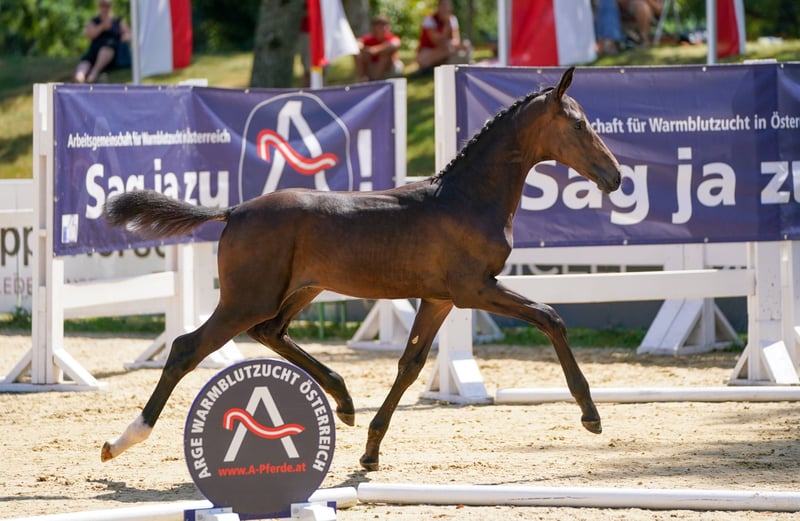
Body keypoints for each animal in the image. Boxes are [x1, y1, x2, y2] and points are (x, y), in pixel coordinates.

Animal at [101, 67, 621, 471]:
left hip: (299, 291)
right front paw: (590, 413)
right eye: (578, 125)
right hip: (246, 299)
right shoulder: (474, 288)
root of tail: (234, 211)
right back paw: (123, 439)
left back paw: (345, 400)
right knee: (188, 348)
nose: (614, 175)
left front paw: (370, 451)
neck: (467, 198)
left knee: (271, 333)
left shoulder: (439, 298)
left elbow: (410, 365)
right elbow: (551, 316)